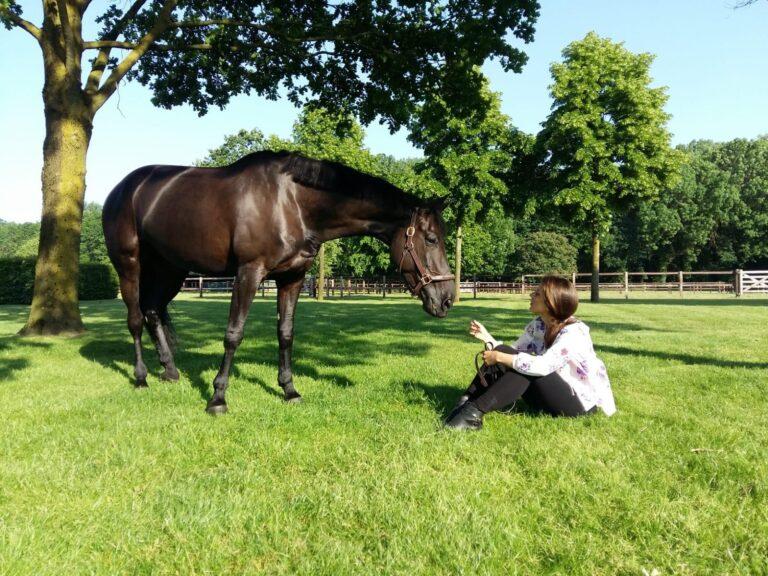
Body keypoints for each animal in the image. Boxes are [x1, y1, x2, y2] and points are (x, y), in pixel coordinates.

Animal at [100, 151, 456, 412]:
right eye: (431, 239)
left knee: (153, 311)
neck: (291, 203)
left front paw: (289, 390)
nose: (447, 299)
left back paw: (170, 371)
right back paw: (141, 377)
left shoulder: (292, 278)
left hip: (171, 270)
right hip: (129, 265)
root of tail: (123, 188)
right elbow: (234, 334)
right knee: (135, 319)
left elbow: (286, 333)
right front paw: (217, 398)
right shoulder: (249, 273)